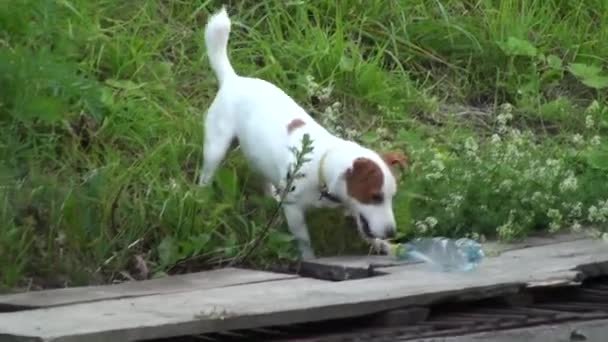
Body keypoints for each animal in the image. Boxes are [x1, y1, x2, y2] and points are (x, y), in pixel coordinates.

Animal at [201, 6, 408, 260]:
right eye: (375, 196)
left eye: (391, 197)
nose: (391, 232)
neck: (323, 167)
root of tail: (233, 79)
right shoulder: (295, 211)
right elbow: (304, 242)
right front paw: (309, 259)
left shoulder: (352, 208)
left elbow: (364, 228)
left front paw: (382, 245)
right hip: (216, 148)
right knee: (207, 173)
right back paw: (201, 195)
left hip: (259, 156)